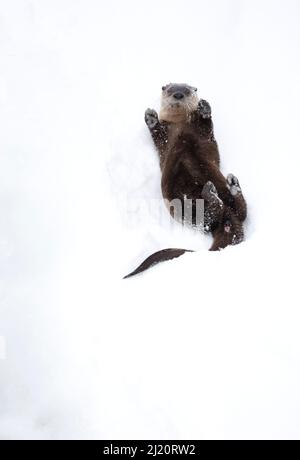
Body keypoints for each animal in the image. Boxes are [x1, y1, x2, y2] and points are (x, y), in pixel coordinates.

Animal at [123, 83, 246, 278]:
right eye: (170, 89)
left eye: (187, 90)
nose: (179, 94)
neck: (180, 124)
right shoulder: (165, 137)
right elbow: (157, 133)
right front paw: (150, 117)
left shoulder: (202, 132)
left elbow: (207, 125)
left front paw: (204, 108)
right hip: (187, 206)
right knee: (212, 217)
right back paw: (214, 193)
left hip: (217, 191)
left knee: (240, 211)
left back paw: (231, 185)